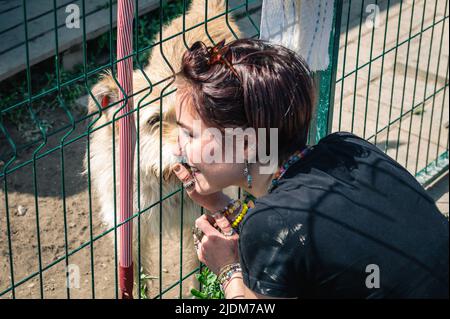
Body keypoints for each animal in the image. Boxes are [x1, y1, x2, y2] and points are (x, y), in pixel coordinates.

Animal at [83, 0, 241, 300]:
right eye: (154, 121)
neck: (161, 181)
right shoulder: (129, 232)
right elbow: (134, 278)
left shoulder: (198, 221)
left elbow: (195, 274)